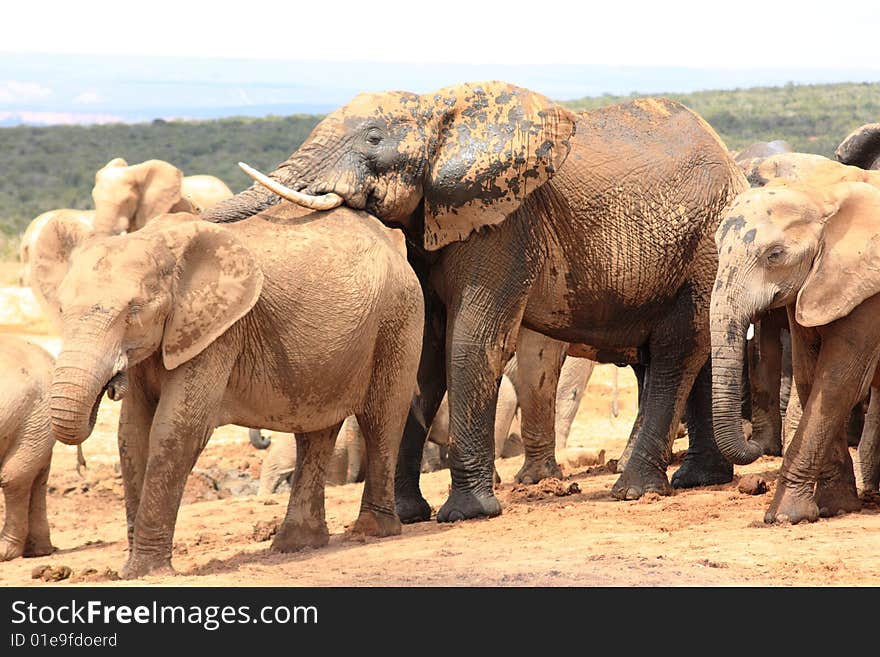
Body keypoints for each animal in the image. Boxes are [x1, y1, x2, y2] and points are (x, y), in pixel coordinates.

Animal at [39, 205, 424, 576]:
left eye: (133, 311)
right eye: (60, 309)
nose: (111, 385)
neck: (159, 243)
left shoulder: (218, 333)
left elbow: (175, 429)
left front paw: (145, 572)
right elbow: (131, 433)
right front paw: (127, 571)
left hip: (399, 317)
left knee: (381, 419)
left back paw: (371, 532)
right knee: (315, 434)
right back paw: (296, 544)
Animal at [203, 80, 744, 516]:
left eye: (373, 138)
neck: (438, 110)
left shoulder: (505, 221)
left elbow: (471, 342)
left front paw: (466, 513)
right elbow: (422, 354)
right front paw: (408, 515)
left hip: (706, 245)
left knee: (678, 348)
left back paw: (635, 491)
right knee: (695, 350)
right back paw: (697, 480)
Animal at [708, 174, 880, 524]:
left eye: (775, 255)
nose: (754, 441)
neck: (823, 196)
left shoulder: (868, 292)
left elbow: (838, 383)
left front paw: (784, 517)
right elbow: (809, 376)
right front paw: (835, 508)